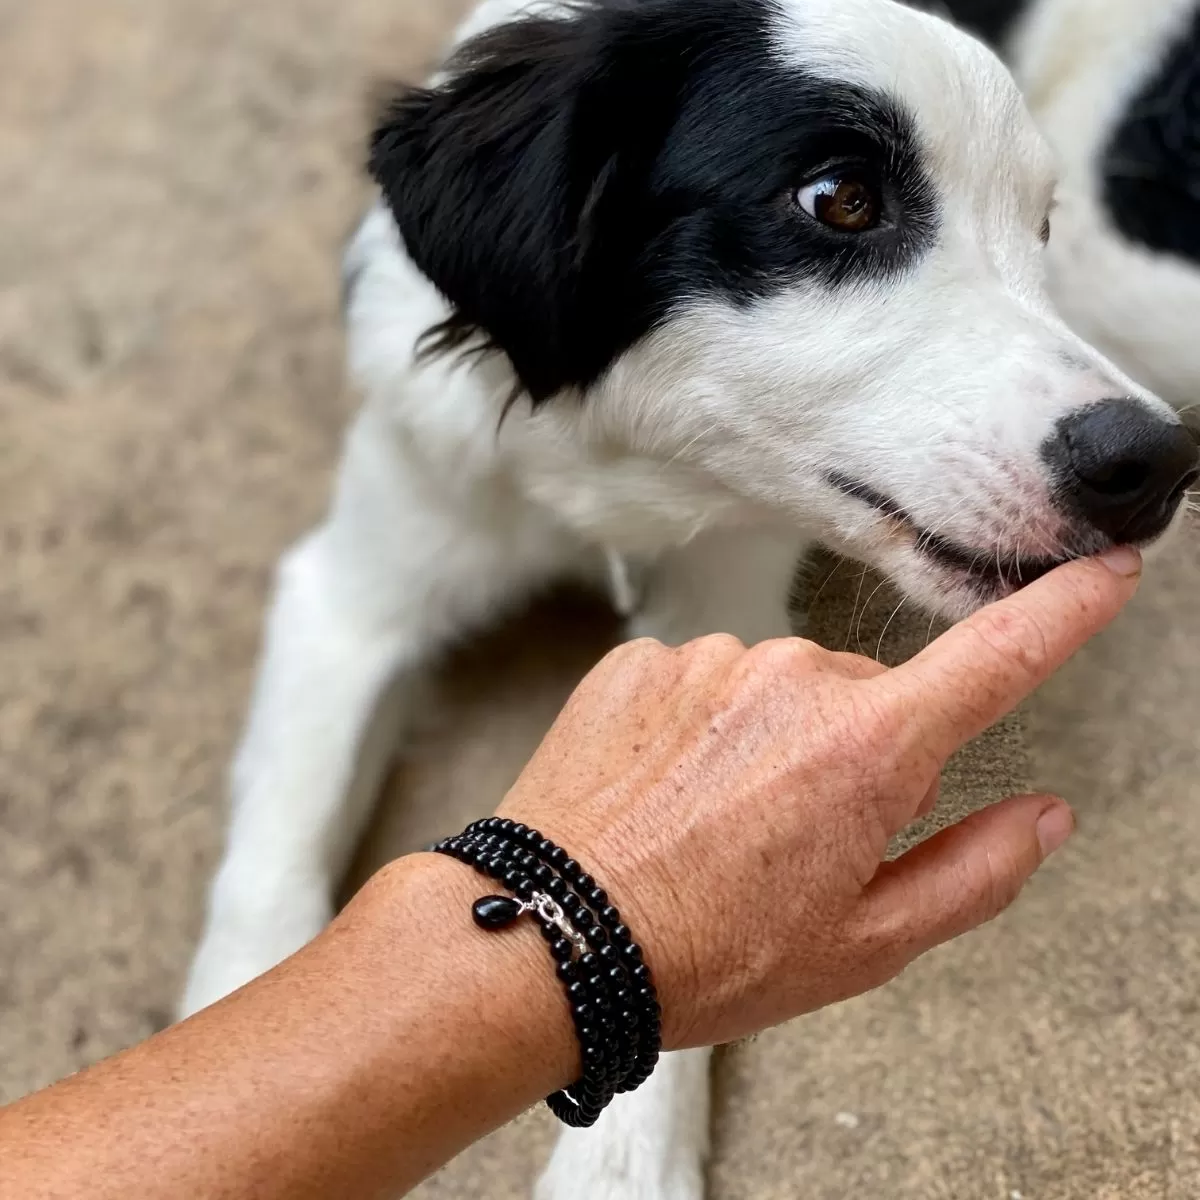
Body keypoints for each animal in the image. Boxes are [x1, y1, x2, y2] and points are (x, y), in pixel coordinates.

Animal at [180, 2, 1200, 1200]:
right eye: (839, 198)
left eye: (1030, 228)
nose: (1153, 467)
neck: (612, 481)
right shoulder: (354, 591)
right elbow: (274, 873)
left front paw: (618, 1164)